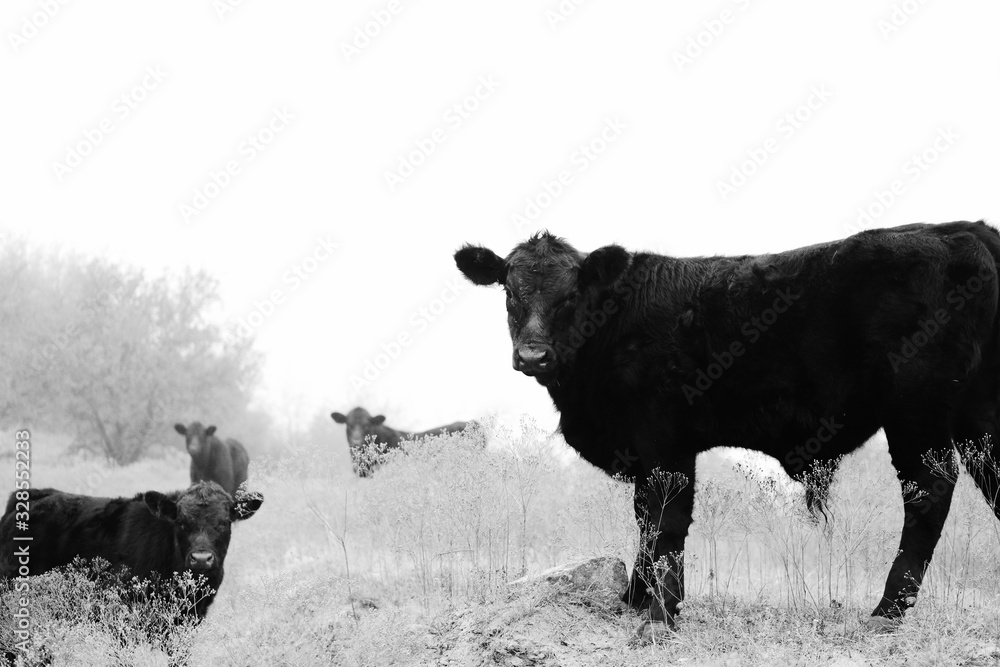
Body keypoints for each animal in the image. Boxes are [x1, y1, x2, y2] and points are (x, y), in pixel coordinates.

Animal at [455, 221, 1000, 636]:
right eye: (510, 291)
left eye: (571, 295)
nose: (533, 355)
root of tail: (959, 229)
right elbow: (645, 519)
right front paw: (636, 598)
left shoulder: (664, 439)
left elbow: (665, 521)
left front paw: (660, 615)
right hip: (977, 416)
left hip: (915, 411)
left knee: (928, 490)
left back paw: (886, 612)